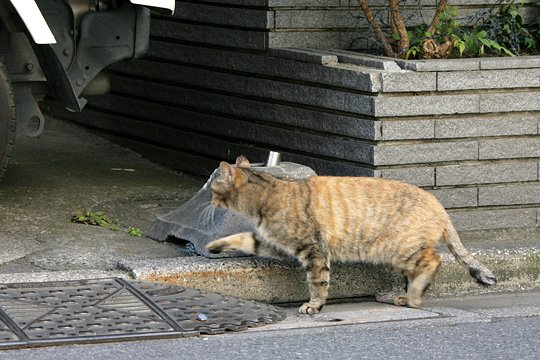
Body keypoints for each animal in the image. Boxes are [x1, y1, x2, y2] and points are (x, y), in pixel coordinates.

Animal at [207, 156, 498, 314]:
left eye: (212, 187)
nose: (208, 200)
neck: (266, 193)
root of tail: (439, 206)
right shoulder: (275, 243)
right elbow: (243, 239)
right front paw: (214, 245)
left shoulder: (312, 249)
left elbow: (318, 282)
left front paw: (314, 306)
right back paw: (402, 296)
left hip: (396, 248)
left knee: (433, 260)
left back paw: (413, 297)